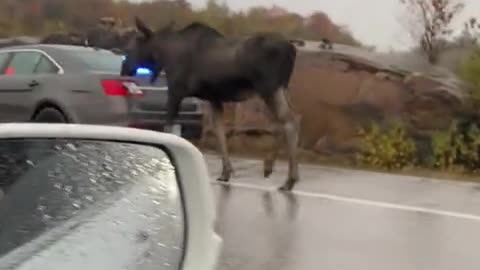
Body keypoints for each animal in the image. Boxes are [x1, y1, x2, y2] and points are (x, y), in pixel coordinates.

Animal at [121, 17, 300, 191]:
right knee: (289, 118)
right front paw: (226, 172)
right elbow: (219, 131)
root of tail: (292, 49)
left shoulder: (176, 91)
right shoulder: (214, 98)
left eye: (134, 44)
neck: (165, 55)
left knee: (288, 120)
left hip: (269, 87)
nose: (125, 68)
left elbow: (168, 126)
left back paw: (287, 178)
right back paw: (274, 168)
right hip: (281, 87)